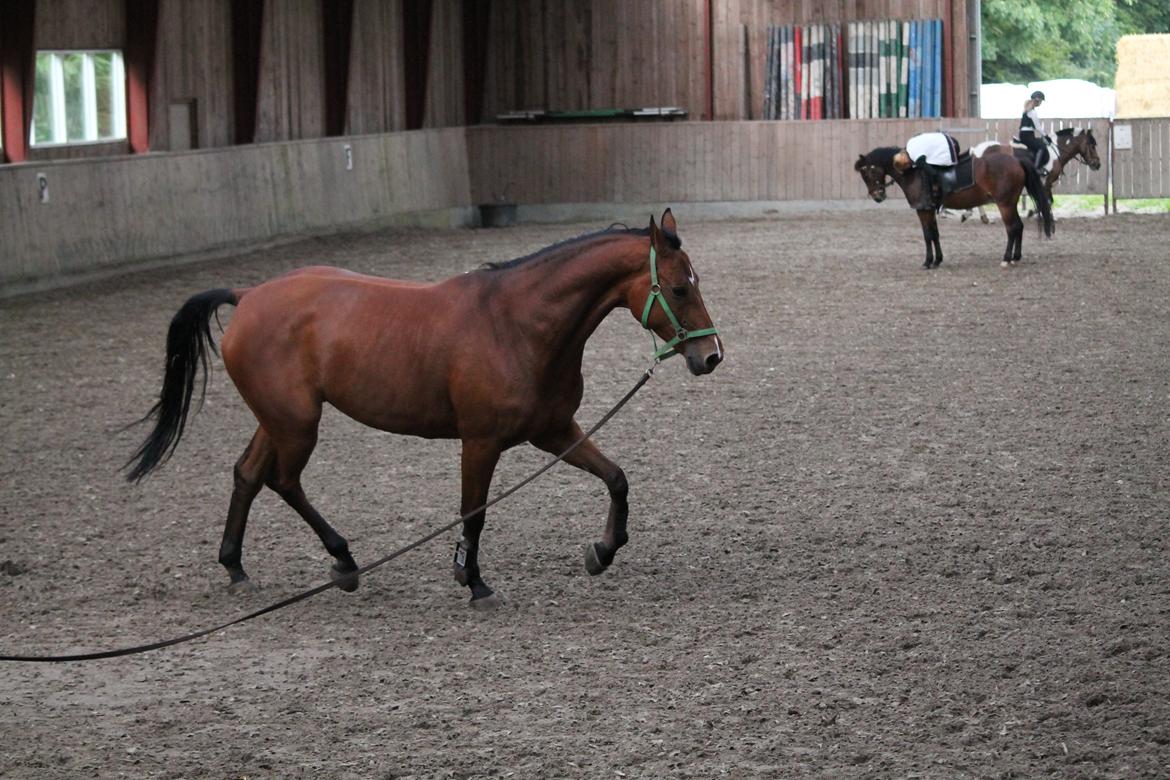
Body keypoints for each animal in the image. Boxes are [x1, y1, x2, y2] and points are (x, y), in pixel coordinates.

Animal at [123, 211, 716, 608]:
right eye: (679, 288)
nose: (710, 355)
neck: (517, 324)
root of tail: (248, 296)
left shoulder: (553, 429)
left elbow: (616, 478)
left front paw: (603, 550)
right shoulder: (480, 441)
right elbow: (473, 512)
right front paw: (473, 581)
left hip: (280, 419)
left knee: (247, 474)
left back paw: (236, 565)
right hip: (297, 425)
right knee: (283, 481)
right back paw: (343, 562)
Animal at [856, 145, 1057, 270]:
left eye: (867, 173)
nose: (877, 196)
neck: (912, 172)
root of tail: (1016, 161)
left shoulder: (923, 210)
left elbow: (927, 235)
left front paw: (927, 262)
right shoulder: (930, 210)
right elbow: (935, 234)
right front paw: (937, 260)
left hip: (1004, 204)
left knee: (1012, 228)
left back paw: (1006, 259)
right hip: (1010, 203)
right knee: (1019, 226)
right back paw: (1016, 257)